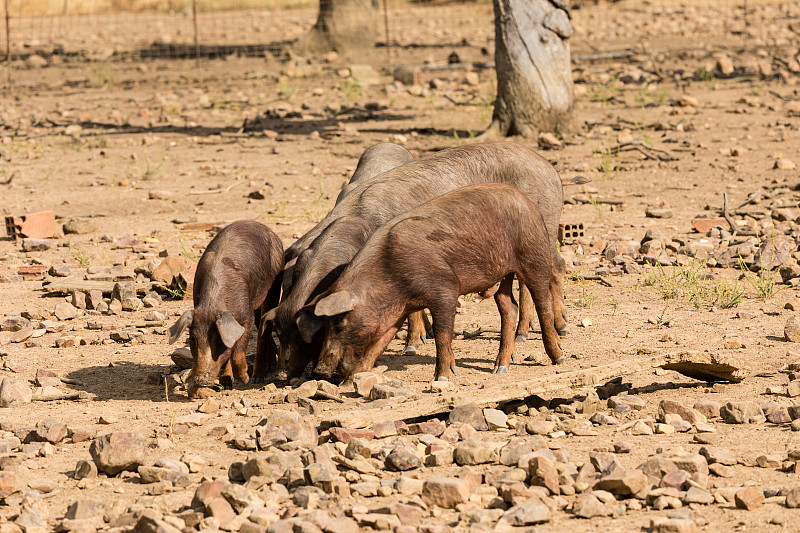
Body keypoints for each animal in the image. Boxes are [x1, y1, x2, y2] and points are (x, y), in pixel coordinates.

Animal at [167, 218, 282, 396]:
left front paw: (244, 380)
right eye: (192, 339)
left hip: (274, 284)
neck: (212, 304)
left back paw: (257, 378)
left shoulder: (246, 316)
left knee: (265, 329)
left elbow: (237, 350)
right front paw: (226, 385)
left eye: (218, 340)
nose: (201, 381)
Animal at [296, 184, 564, 382]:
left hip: (534, 253)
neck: (389, 279)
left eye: (338, 322)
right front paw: (351, 381)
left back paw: (558, 356)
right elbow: (379, 343)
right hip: (503, 274)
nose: (320, 370)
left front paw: (442, 378)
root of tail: (527, 200)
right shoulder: (398, 310)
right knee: (509, 307)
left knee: (542, 301)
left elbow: (443, 334)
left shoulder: (445, 290)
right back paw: (500, 368)